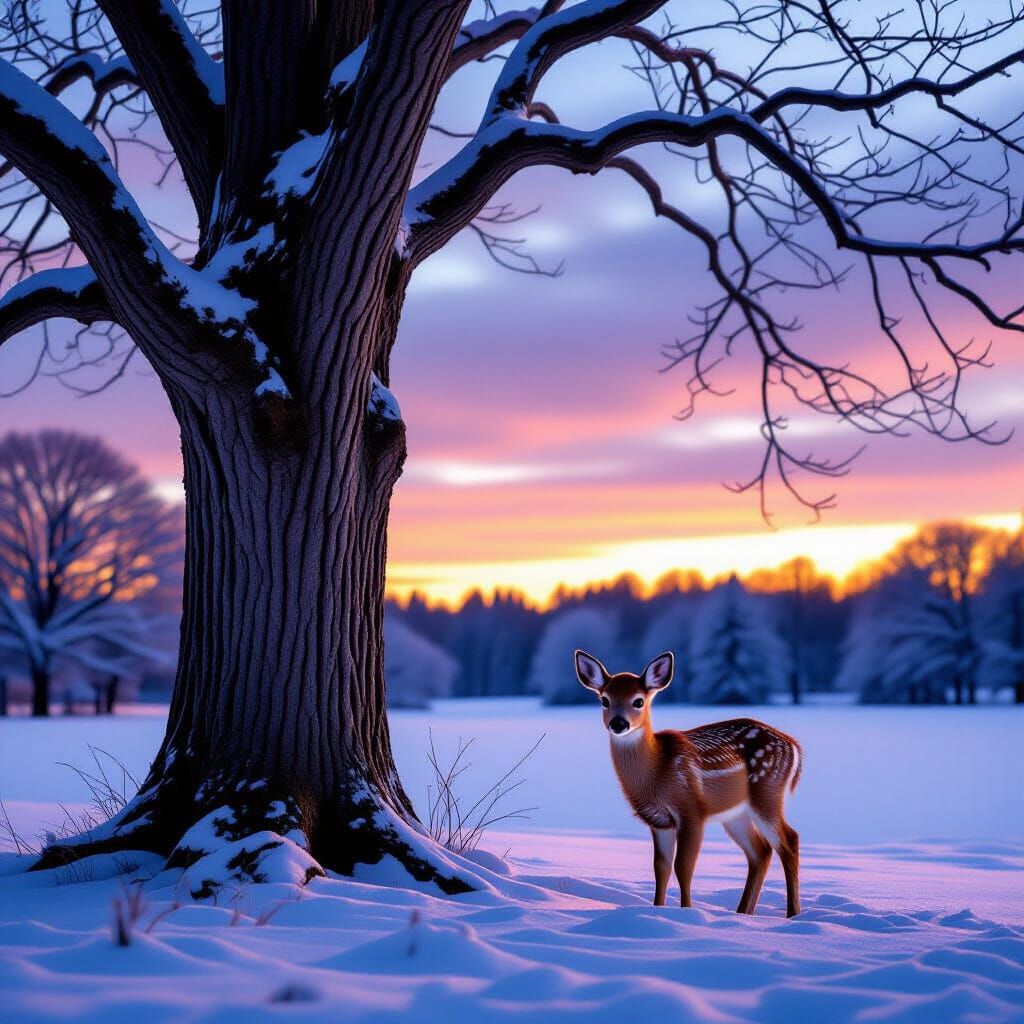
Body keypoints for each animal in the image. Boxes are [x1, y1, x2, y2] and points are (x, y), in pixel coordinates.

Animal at [575, 649, 802, 917]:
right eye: (605, 700)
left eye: (638, 701)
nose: (619, 723)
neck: (656, 772)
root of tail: (794, 746)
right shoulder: (659, 821)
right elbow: (660, 867)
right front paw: (657, 909)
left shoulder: (691, 809)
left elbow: (683, 866)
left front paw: (687, 912)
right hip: (736, 814)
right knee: (761, 852)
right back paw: (742, 913)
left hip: (767, 790)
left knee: (789, 841)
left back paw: (792, 914)